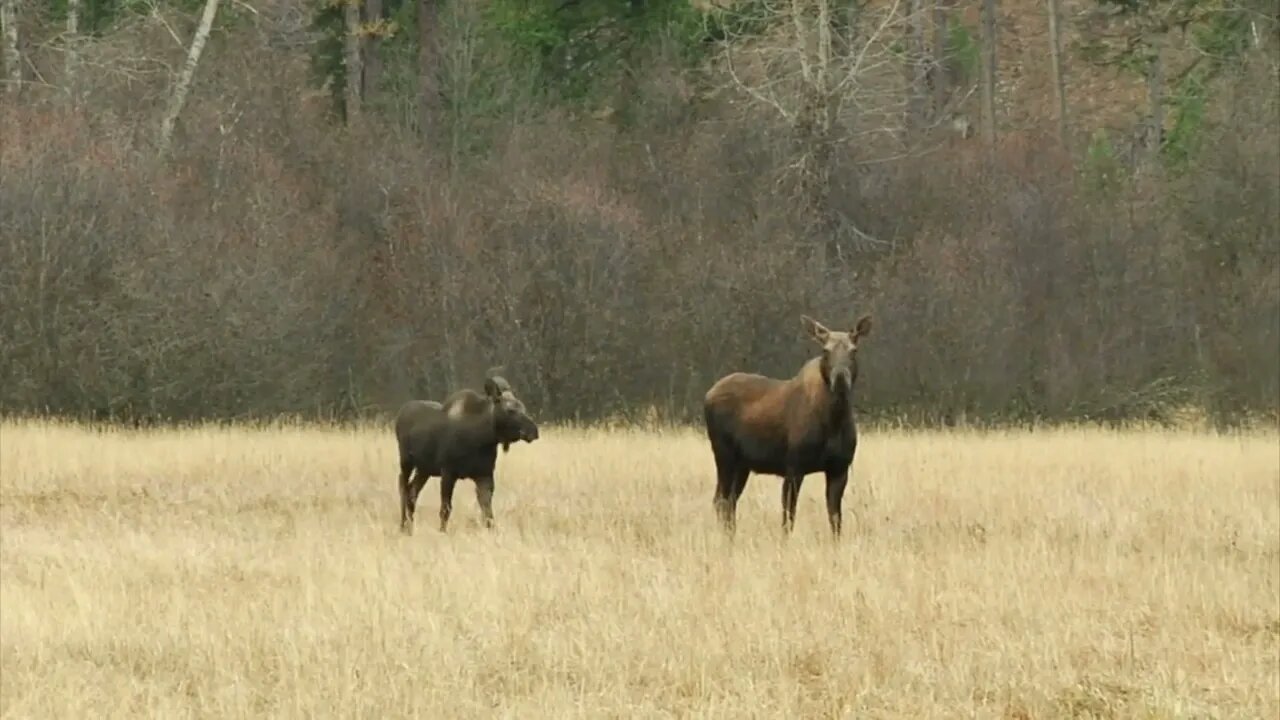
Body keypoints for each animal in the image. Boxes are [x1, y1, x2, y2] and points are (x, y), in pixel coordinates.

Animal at [391, 376, 537, 532]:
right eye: (510, 410)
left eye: (523, 407)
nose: (534, 431)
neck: (481, 438)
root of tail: (400, 414)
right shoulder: (448, 472)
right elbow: (445, 509)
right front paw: (442, 531)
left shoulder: (484, 475)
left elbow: (488, 512)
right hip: (406, 461)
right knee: (403, 488)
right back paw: (403, 525)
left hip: (424, 469)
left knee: (412, 492)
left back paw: (409, 526)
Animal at [706, 311, 875, 535]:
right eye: (825, 350)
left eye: (854, 350)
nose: (840, 378)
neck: (834, 421)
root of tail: (708, 395)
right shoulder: (794, 466)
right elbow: (788, 517)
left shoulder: (839, 468)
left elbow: (835, 519)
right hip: (724, 454)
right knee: (721, 500)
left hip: (742, 464)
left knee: (729, 501)